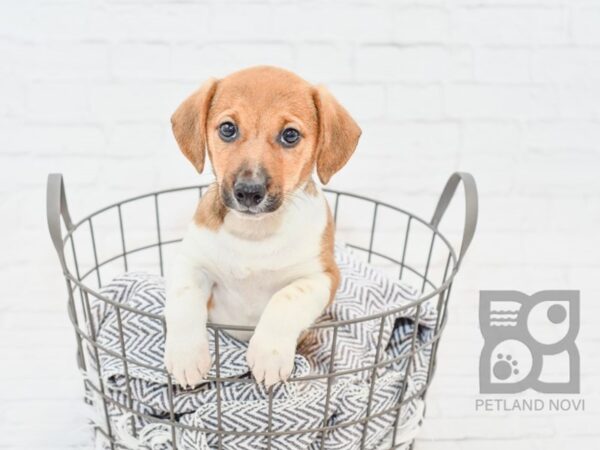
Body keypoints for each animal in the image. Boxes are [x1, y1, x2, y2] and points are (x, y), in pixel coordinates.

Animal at [164, 66, 358, 386]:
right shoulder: (191, 263)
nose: (249, 192)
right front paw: (186, 355)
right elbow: (183, 300)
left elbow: (285, 298)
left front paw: (269, 353)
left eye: (290, 135)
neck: (254, 234)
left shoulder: (322, 277)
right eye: (228, 129)